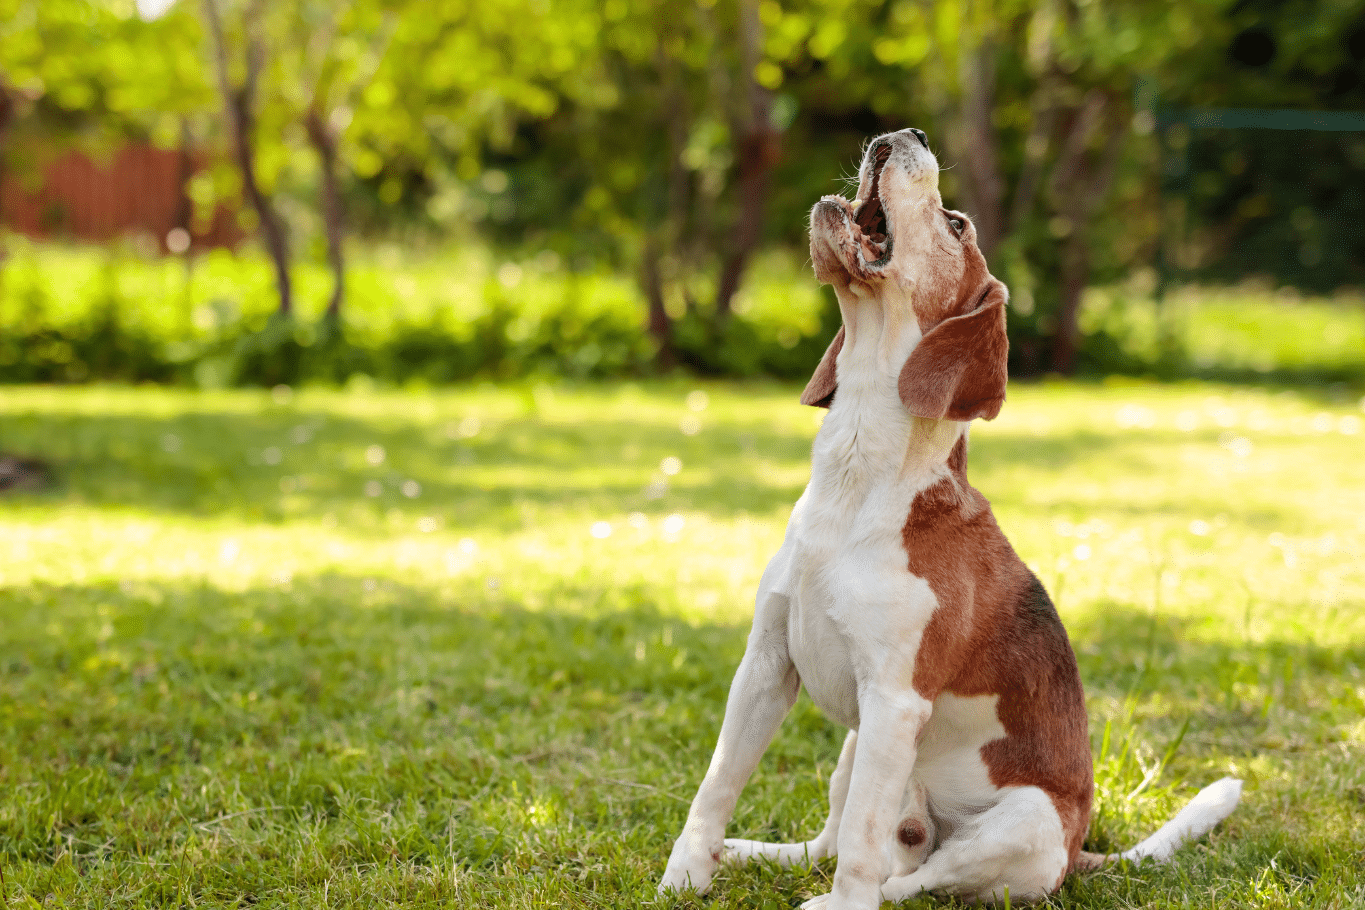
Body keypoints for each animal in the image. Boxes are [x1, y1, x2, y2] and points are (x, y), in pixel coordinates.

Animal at [655, 129, 1244, 910]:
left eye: (957, 225)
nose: (905, 135)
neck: (856, 476)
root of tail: (1077, 853)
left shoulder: (895, 701)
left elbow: (861, 850)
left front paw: (839, 904)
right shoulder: (765, 664)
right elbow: (716, 785)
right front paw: (685, 872)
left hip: (1017, 816)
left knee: (906, 878)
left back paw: (838, 895)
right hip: (853, 749)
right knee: (829, 844)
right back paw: (746, 853)